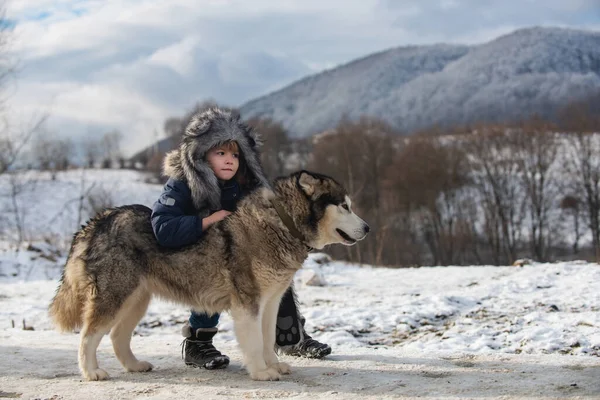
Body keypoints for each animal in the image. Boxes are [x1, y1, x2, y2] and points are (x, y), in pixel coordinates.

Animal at [49, 170, 370, 382]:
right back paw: (91, 372)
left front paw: (273, 365)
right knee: (88, 336)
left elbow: (268, 338)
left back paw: (134, 365)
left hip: (136, 300)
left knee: (117, 335)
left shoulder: (271, 301)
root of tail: (98, 219)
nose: (368, 228)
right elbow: (254, 342)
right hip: (114, 296)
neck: (281, 223)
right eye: (344, 206)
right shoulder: (247, 304)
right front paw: (261, 372)